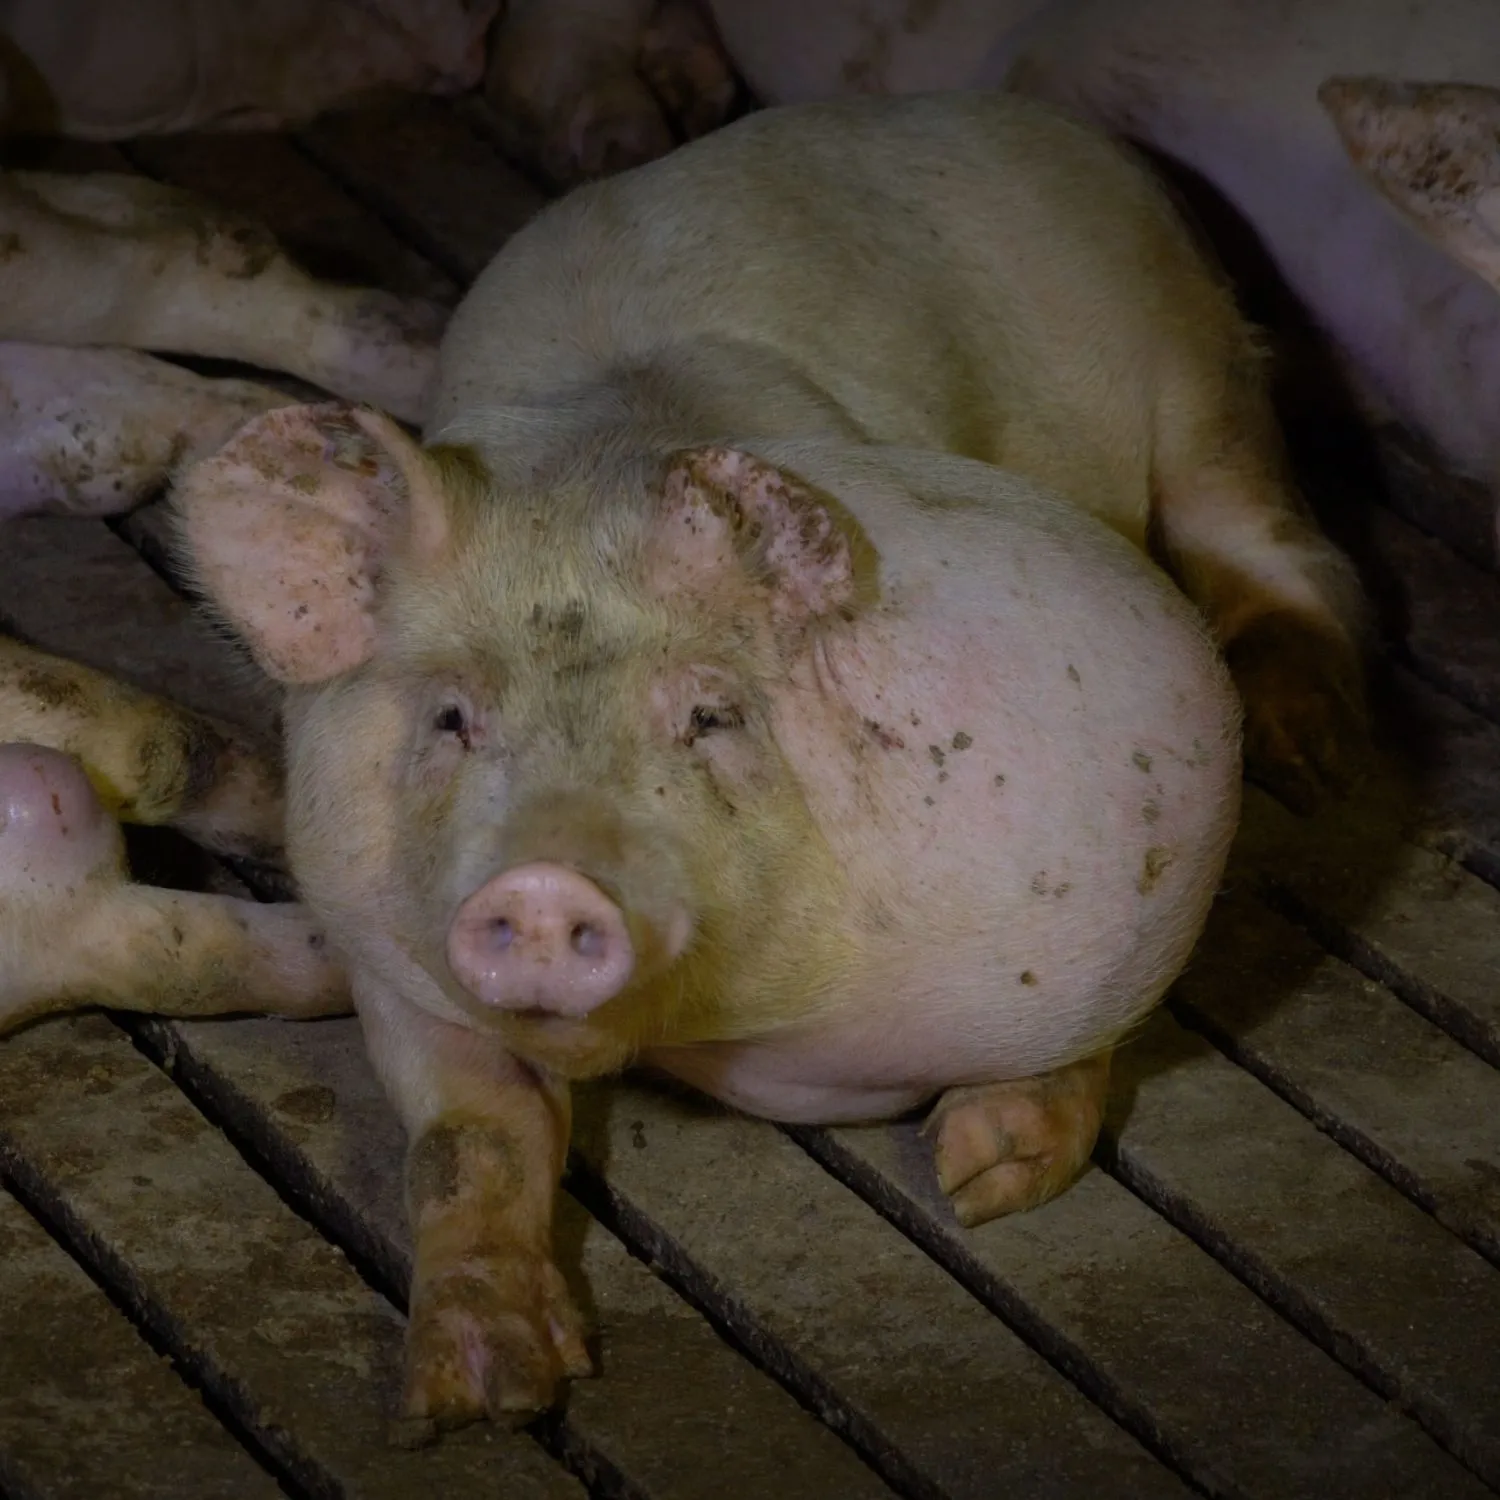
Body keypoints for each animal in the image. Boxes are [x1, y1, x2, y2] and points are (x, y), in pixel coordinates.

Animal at [166, 92, 1366, 1430]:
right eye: (452, 720)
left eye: (708, 716)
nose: (544, 883)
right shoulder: (390, 952)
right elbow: (471, 1135)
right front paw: (480, 1396)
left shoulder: (1120, 806)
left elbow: (1089, 1023)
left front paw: (980, 1176)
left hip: (1194, 350)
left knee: (1272, 532)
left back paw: (1314, 758)